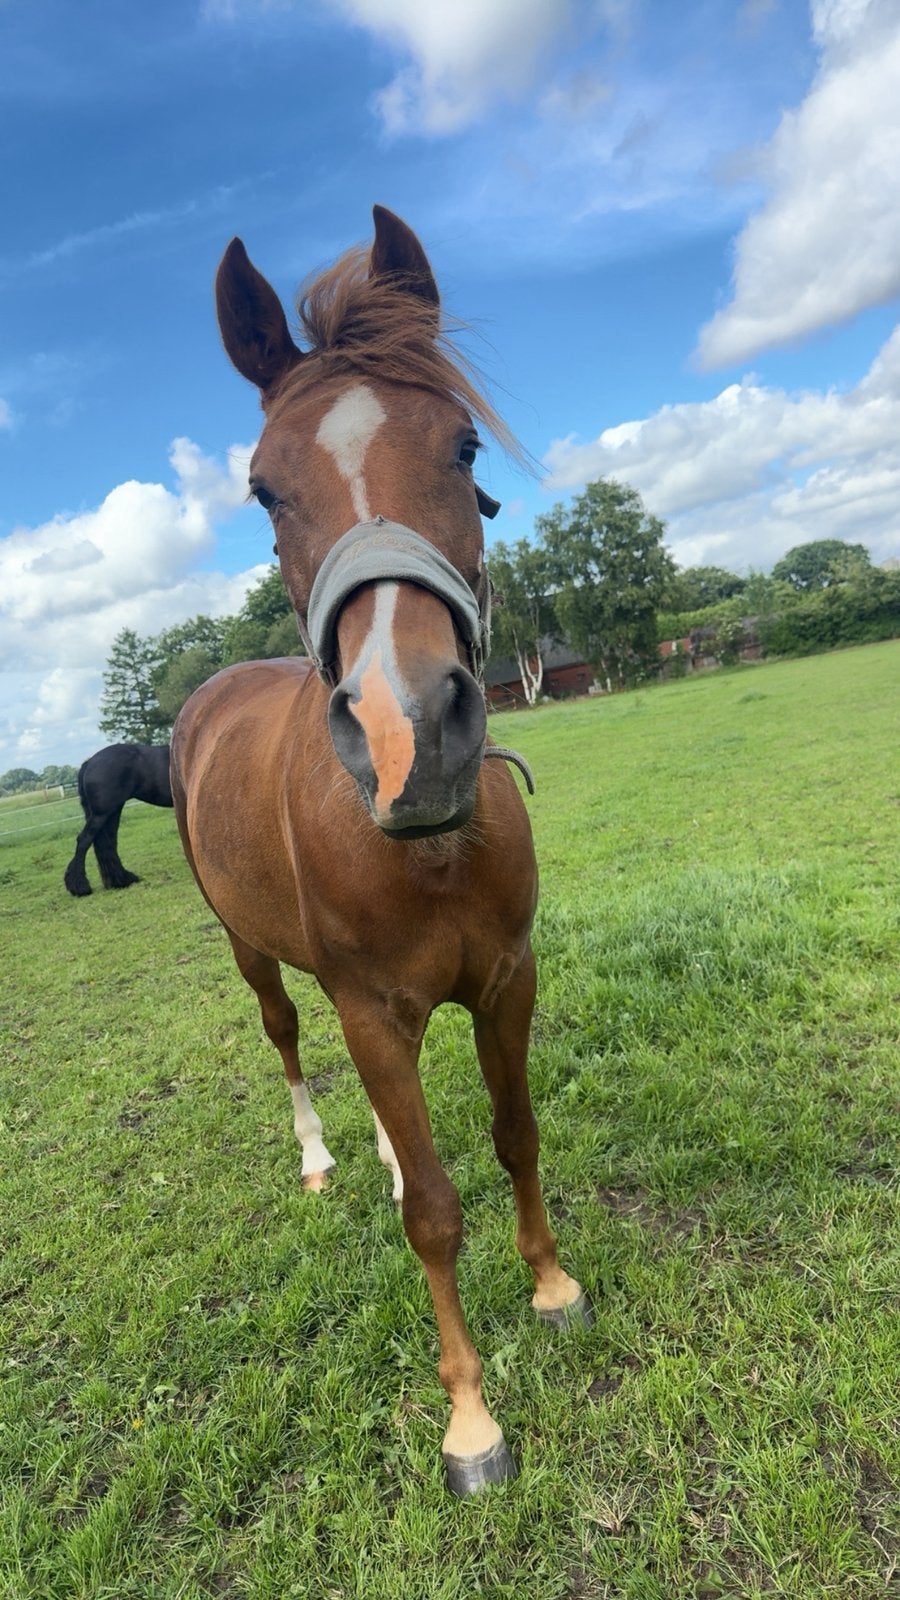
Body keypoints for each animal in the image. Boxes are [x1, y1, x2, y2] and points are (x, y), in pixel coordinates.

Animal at [64, 743, 173, 897]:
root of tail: (89, 762)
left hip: (113, 811)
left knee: (109, 842)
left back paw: (121, 880)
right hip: (102, 813)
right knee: (84, 841)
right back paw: (81, 887)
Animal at [171, 206, 590, 1497]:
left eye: (463, 447)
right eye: (263, 489)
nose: (411, 736)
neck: (430, 850)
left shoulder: (506, 979)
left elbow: (514, 1135)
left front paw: (552, 1284)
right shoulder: (370, 1004)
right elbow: (436, 1218)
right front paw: (471, 1420)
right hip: (253, 951)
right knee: (288, 1033)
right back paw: (321, 1154)